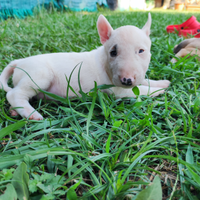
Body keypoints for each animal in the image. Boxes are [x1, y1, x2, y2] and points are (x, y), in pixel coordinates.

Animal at [0, 14, 170, 120]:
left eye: (141, 51)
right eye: (113, 52)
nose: (127, 80)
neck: (104, 60)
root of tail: (19, 62)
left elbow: (145, 81)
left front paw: (163, 83)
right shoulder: (117, 90)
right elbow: (141, 90)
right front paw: (159, 91)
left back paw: (15, 112)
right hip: (38, 75)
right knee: (14, 94)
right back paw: (32, 114)